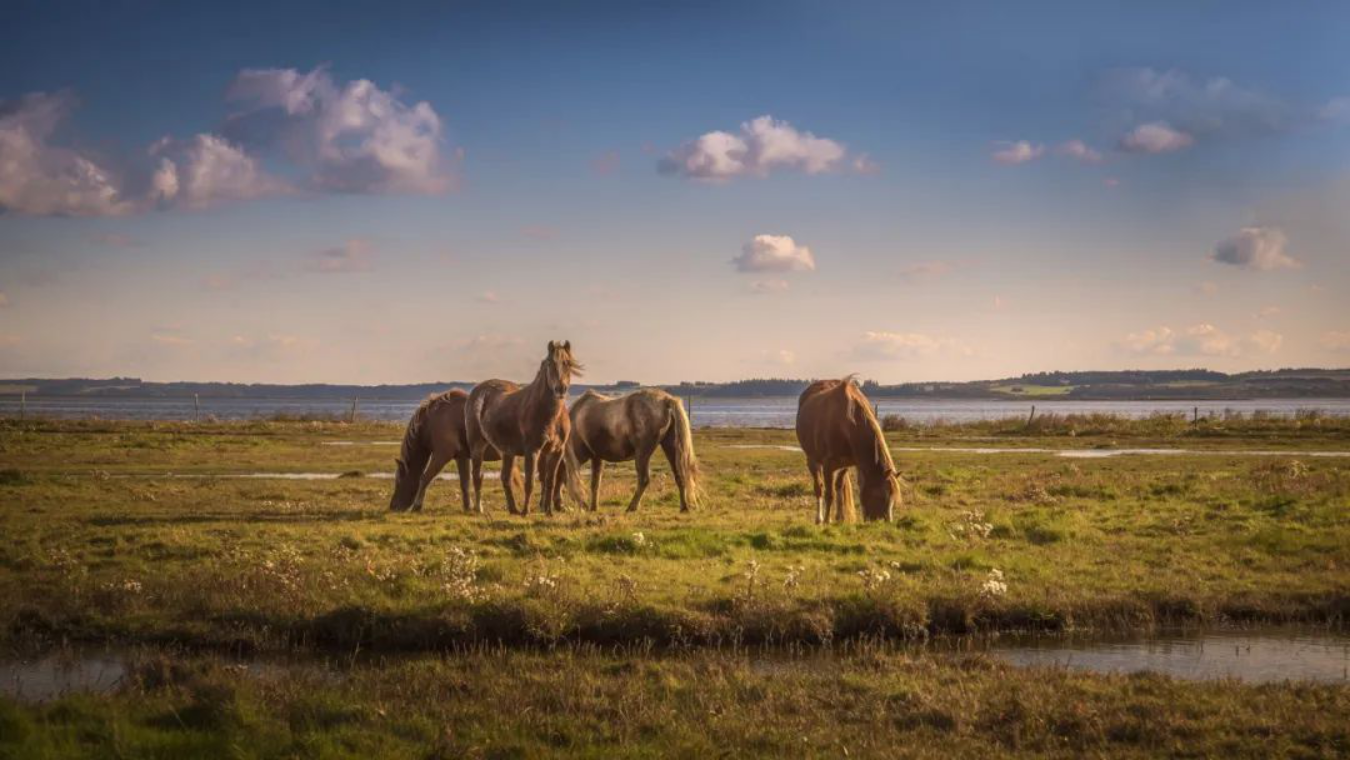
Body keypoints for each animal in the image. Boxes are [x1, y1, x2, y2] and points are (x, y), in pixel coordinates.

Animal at [464, 342, 580, 518]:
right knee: (477, 476)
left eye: (567, 363)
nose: (560, 389)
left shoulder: (556, 451)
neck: (550, 415)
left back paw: (513, 509)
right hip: (478, 446)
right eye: (550, 363)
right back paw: (480, 508)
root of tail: (478, 391)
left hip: (508, 452)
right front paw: (526, 511)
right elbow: (530, 482)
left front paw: (548, 511)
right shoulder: (532, 451)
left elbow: (549, 481)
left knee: (505, 478)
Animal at [561, 388, 702, 515]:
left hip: (642, 454)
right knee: (680, 475)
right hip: (671, 448)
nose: (560, 507)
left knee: (644, 480)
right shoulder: (597, 457)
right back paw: (684, 507)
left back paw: (631, 507)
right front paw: (593, 508)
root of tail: (666, 400)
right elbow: (595, 483)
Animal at [793, 377, 901, 523]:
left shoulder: (848, 464)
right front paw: (827, 520)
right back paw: (819, 518)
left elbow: (839, 486)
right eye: (881, 496)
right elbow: (829, 493)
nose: (886, 522)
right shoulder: (828, 465)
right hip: (812, 459)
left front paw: (839, 517)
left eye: (892, 497)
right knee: (818, 487)